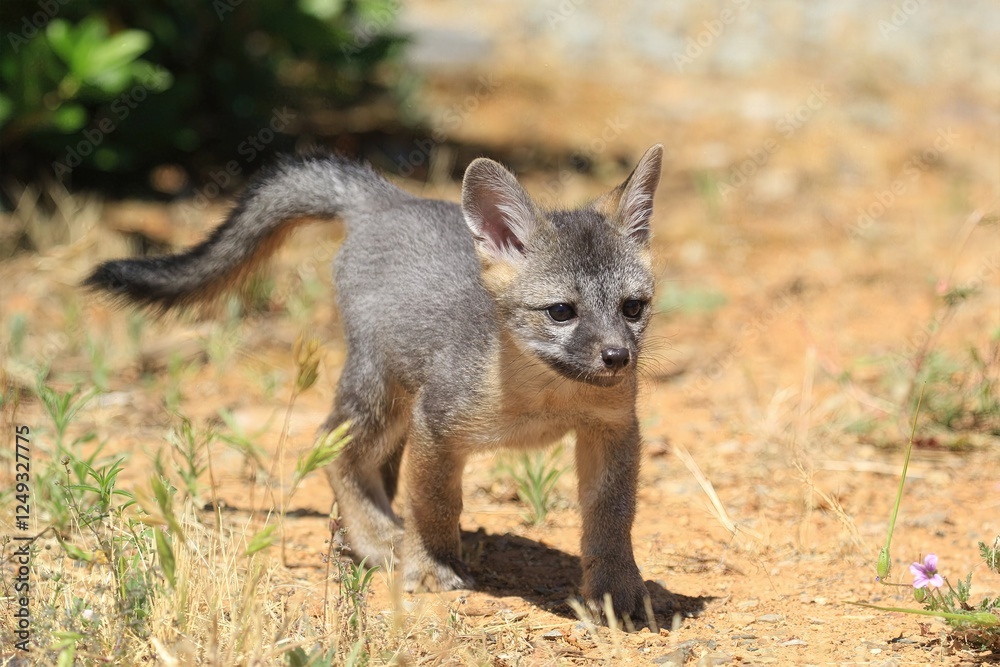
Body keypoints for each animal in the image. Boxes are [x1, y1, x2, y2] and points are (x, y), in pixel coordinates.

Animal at [86, 143, 664, 622]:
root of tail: (391, 198)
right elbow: (434, 503)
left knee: (371, 465)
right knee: (331, 446)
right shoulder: (437, 425)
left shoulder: (613, 430)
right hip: (382, 397)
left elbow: (611, 520)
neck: (545, 397)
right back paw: (376, 538)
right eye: (561, 312)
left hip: (395, 409)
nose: (618, 357)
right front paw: (429, 566)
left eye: (633, 308)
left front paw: (615, 590)